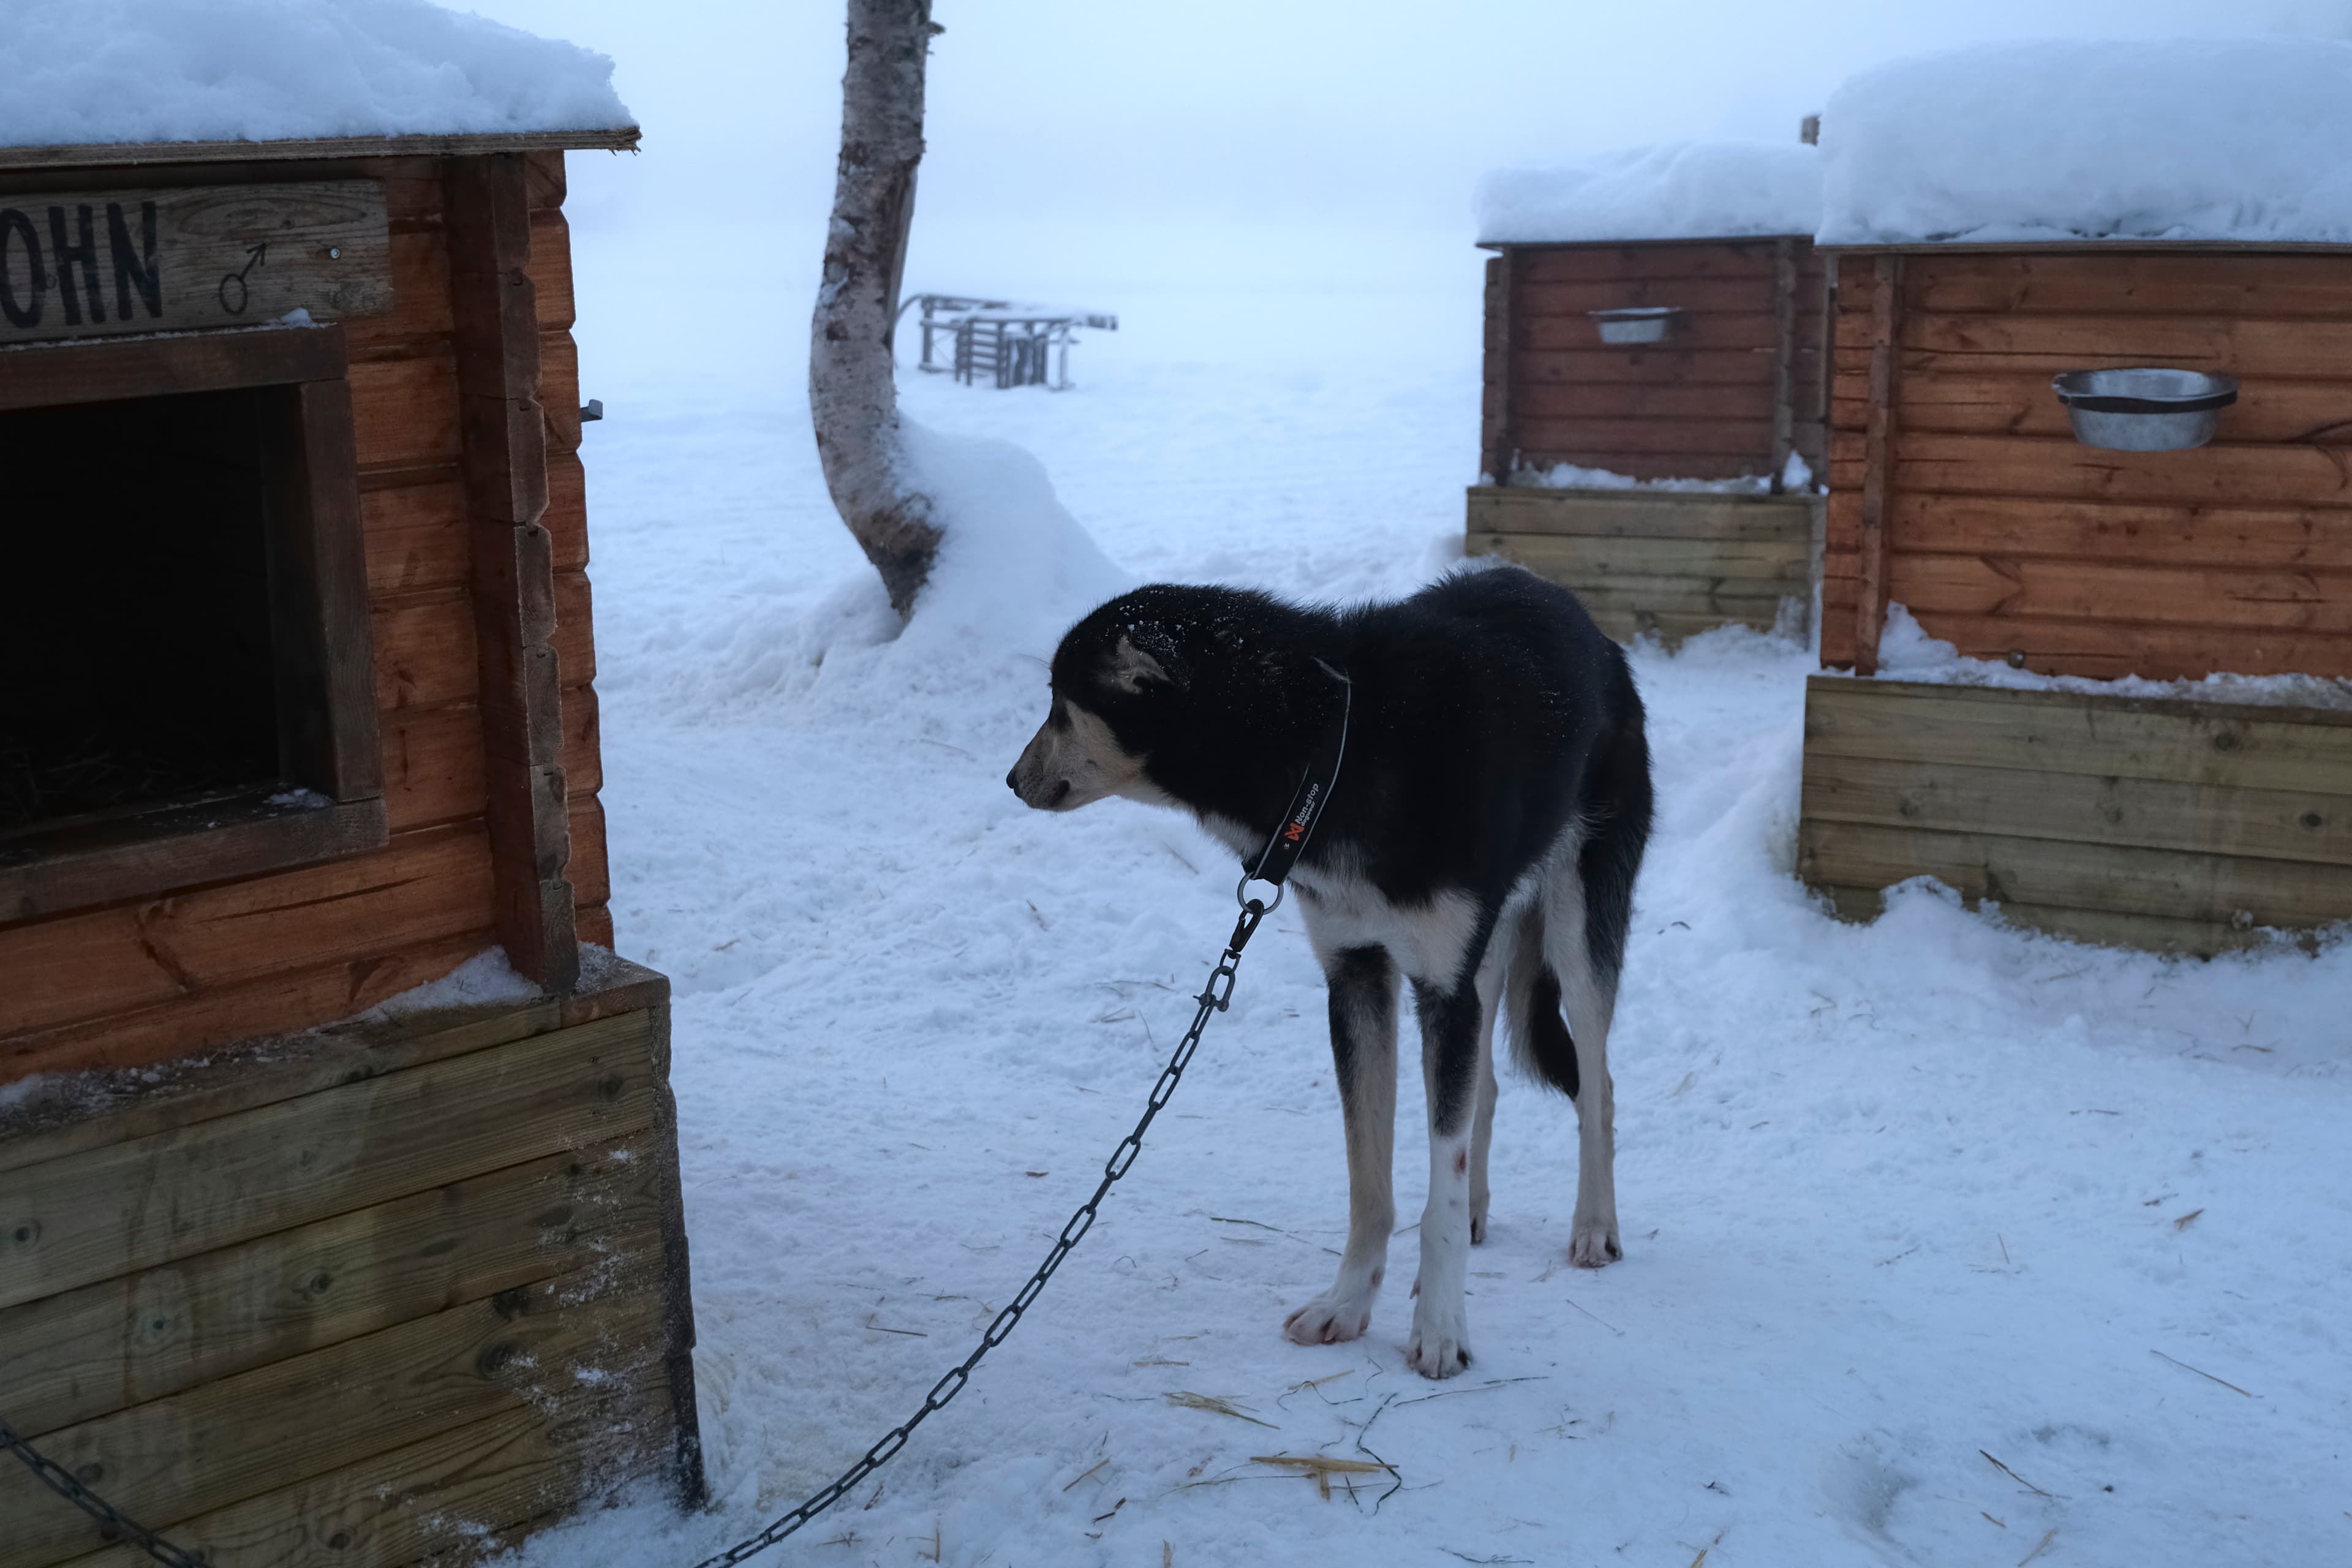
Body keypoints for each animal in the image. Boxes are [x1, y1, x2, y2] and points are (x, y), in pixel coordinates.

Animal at [1011, 564, 1656, 1373]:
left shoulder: (1439, 985)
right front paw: (1348, 1305)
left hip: (1576, 928)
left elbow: (1436, 1193)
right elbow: (1370, 1181)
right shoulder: (1358, 975)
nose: (1012, 779)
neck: (1337, 744)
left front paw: (1440, 1329)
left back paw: (1595, 1225)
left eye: (1061, 703)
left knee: (1598, 1084)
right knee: (1485, 1090)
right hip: (1483, 958)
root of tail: (1587, 624)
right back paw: (1481, 1209)